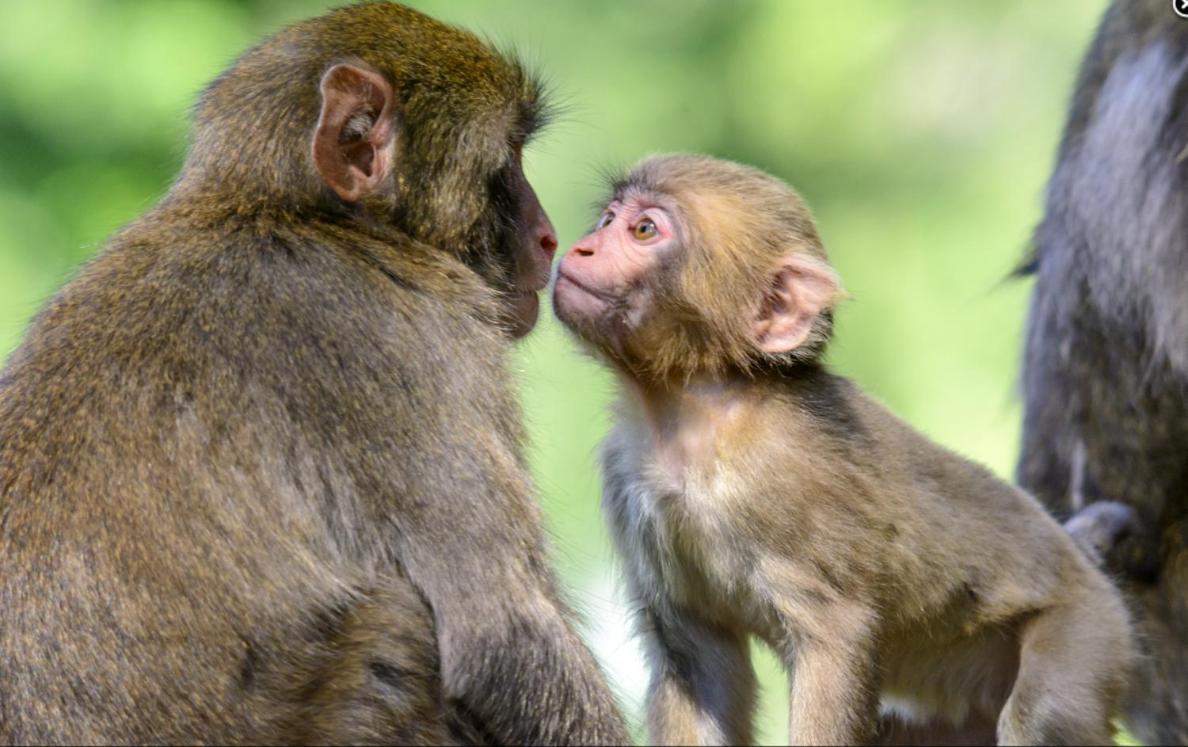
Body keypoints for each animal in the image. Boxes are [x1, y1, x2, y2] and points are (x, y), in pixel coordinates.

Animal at [0, 2, 632, 741]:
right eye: (508, 161)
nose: (549, 236)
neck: (289, 210)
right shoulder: (409, 343)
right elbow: (504, 637)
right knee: (399, 628)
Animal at [551, 154, 1135, 741]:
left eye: (645, 230)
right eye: (608, 218)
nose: (582, 248)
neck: (699, 412)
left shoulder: (784, 478)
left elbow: (835, 637)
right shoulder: (628, 478)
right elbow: (697, 659)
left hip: (1088, 630)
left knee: (1039, 713)